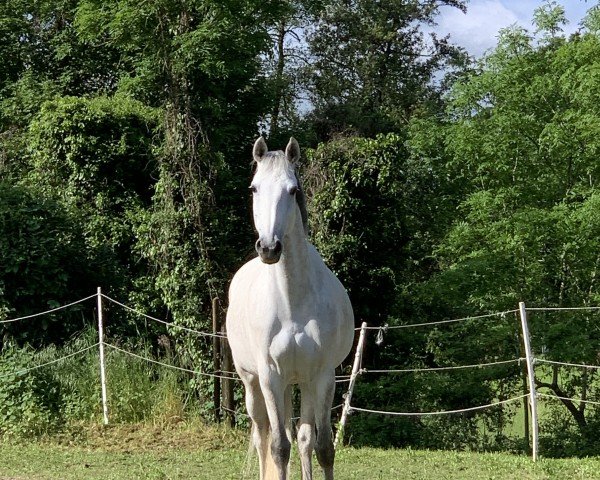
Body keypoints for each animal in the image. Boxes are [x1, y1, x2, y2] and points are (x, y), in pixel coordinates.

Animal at [227, 137, 354, 478]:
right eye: (254, 188)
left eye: (293, 190)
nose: (269, 248)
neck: (291, 301)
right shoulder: (270, 377)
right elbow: (278, 448)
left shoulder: (322, 376)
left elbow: (321, 447)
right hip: (254, 384)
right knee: (263, 438)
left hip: (298, 384)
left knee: (303, 438)